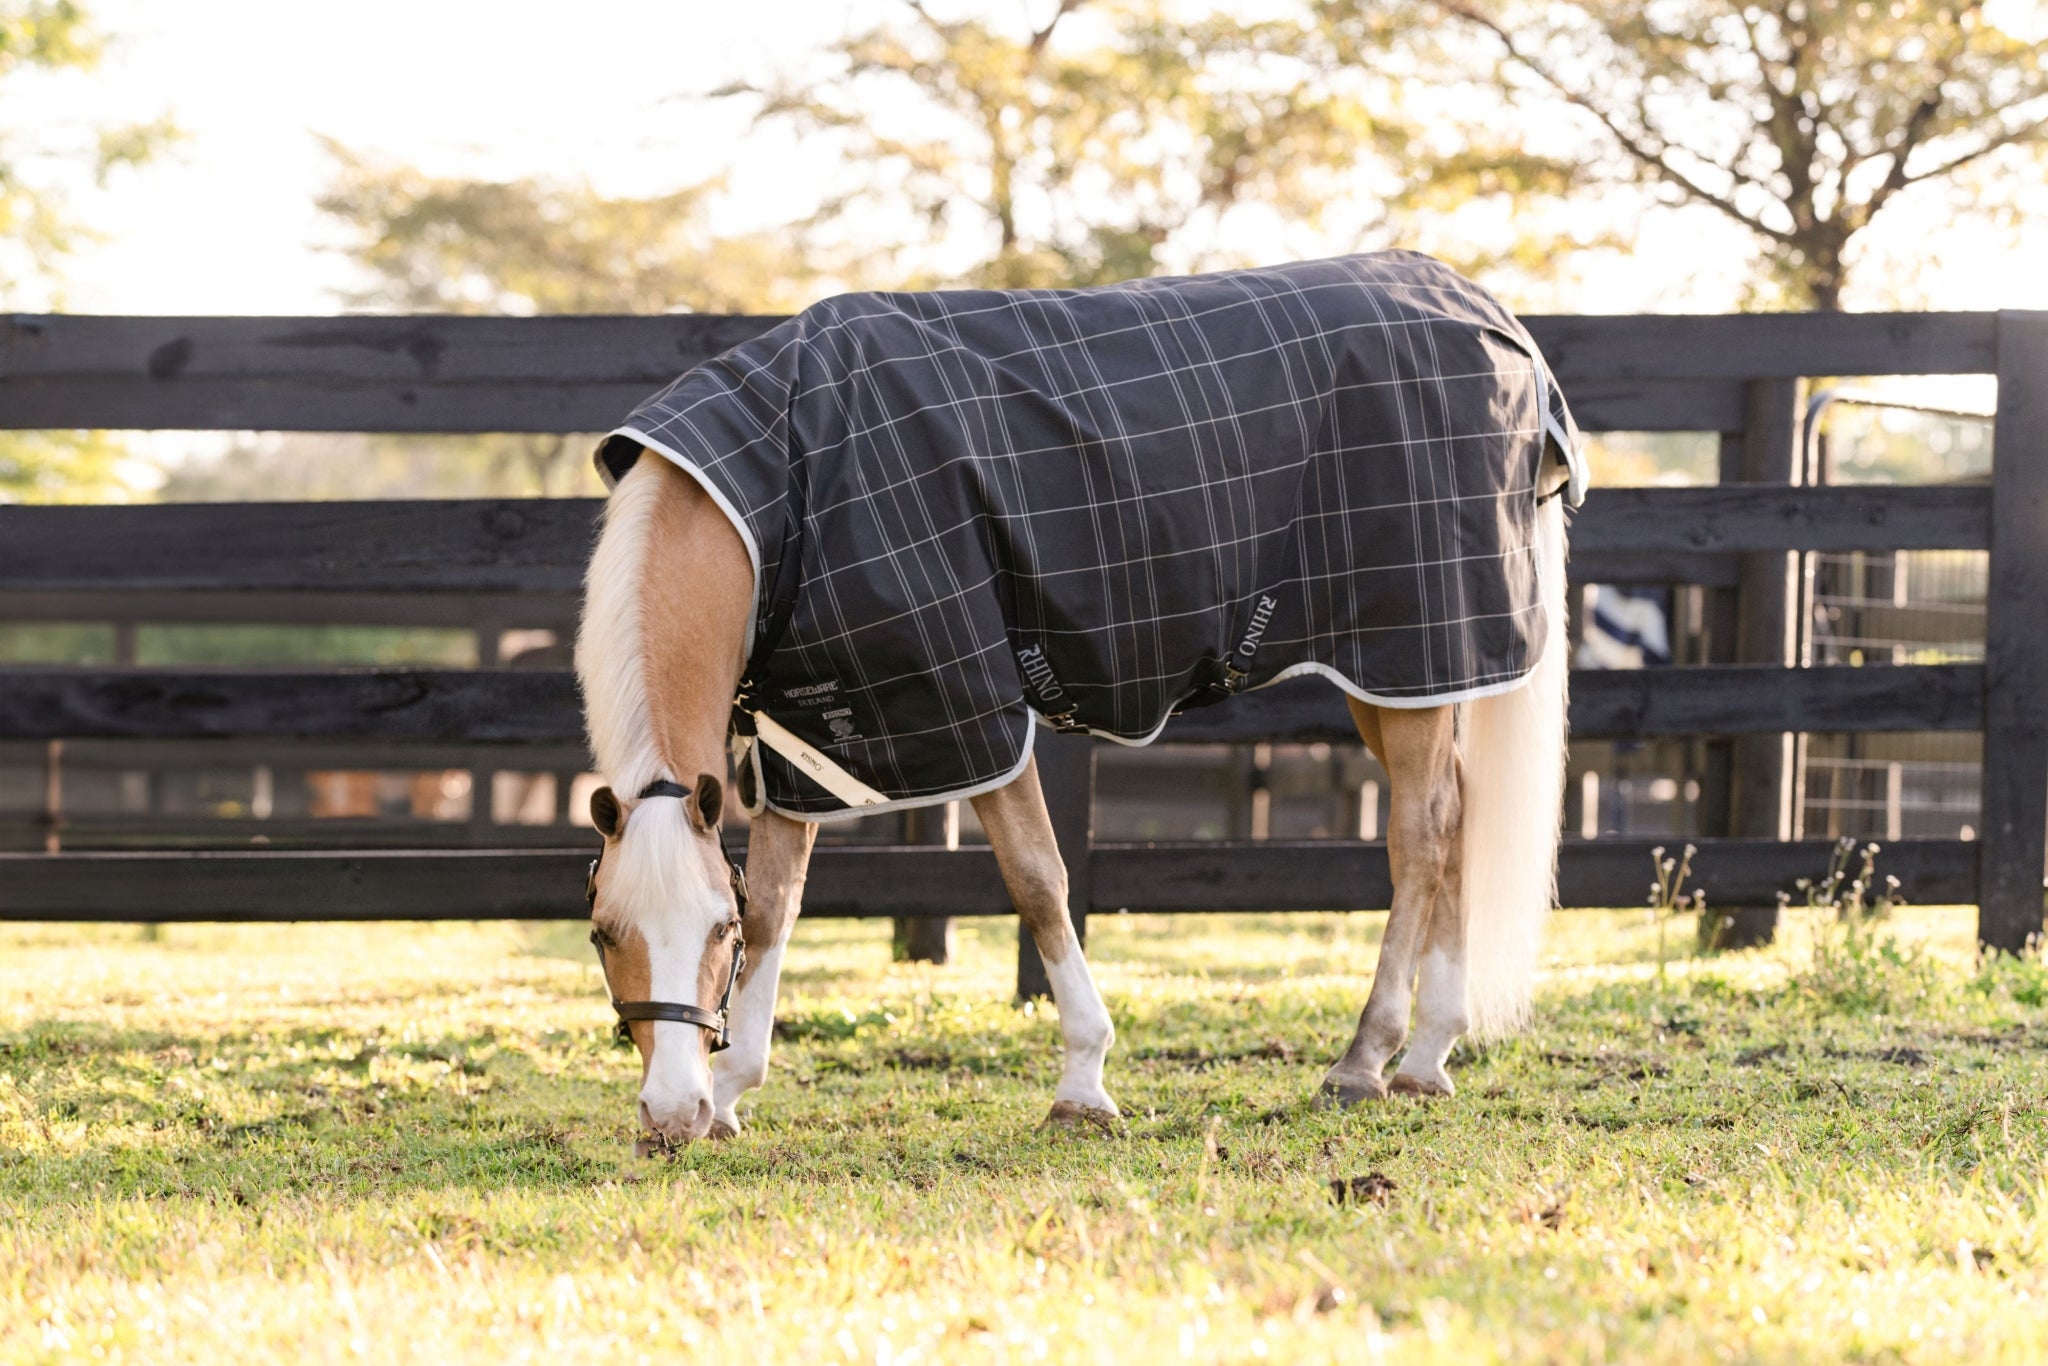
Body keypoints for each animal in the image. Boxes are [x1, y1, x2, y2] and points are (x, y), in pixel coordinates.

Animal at [574, 252, 1580, 1148]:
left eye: (712, 930)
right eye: (603, 933)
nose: (669, 1117)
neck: (784, 487)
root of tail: (1494, 319)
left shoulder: (969, 710)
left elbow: (1039, 880)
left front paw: (1084, 1085)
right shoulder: (812, 733)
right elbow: (782, 902)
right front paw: (733, 1094)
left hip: (1414, 657)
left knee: (1419, 833)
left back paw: (1365, 1060)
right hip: (1395, 674)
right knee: (1454, 814)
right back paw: (1428, 1059)